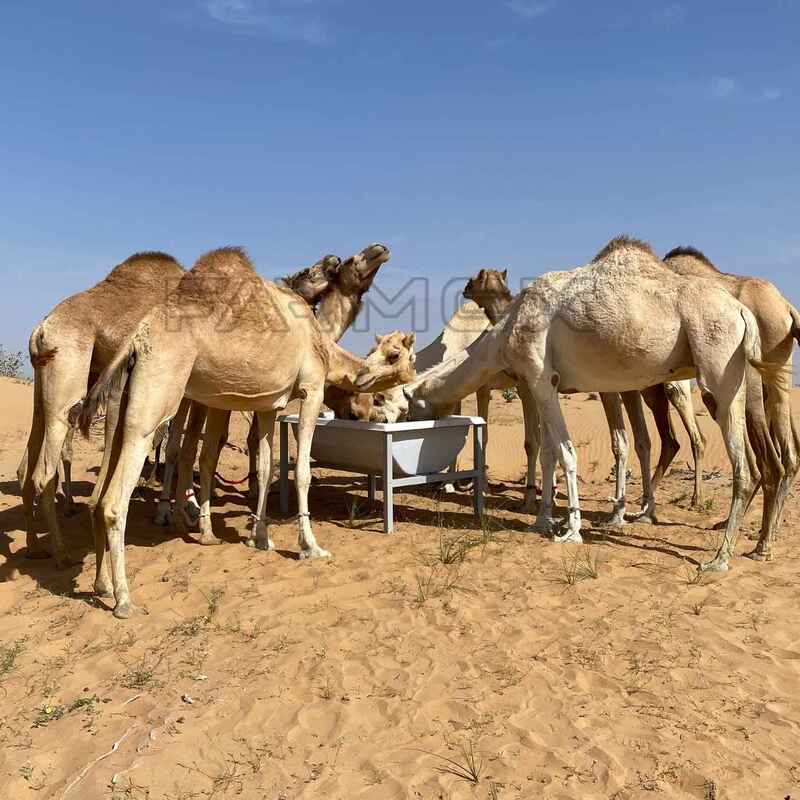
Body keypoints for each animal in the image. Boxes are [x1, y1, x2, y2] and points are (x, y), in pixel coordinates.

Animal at [77, 247, 412, 617]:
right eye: (395, 354)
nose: (380, 249)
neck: (322, 343)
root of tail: (137, 339)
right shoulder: (311, 390)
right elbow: (303, 472)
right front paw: (310, 546)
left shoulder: (268, 407)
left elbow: (266, 468)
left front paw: (260, 538)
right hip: (157, 395)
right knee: (116, 501)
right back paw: (125, 600)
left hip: (123, 408)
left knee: (98, 496)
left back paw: (103, 585)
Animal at [369, 236, 783, 571]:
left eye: (381, 397)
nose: (373, 417)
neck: (503, 333)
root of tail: (743, 313)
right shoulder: (543, 385)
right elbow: (549, 452)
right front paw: (541, 520)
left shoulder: (538, 378)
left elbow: (565, 452)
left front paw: (572, 530)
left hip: (718, 369)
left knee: (742, 466)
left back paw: (720, 557)